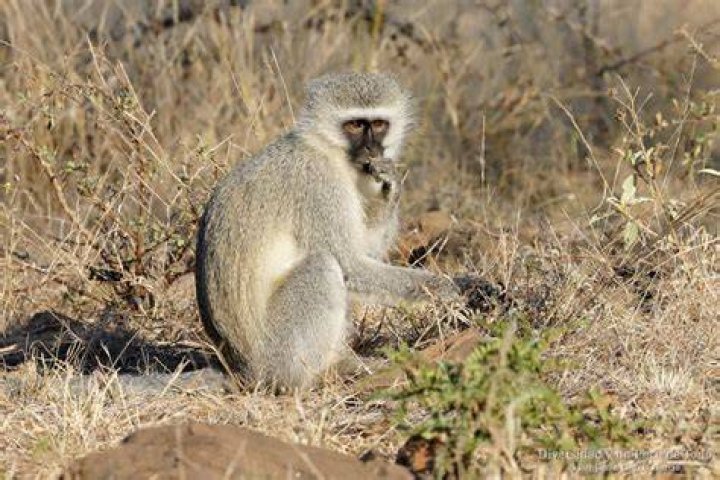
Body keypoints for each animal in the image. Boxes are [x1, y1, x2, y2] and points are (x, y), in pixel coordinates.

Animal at [195, 72, 465, 390]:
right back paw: (320, 375)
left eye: (378, 124)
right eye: (355, 125)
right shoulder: (319, 185)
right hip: (276, 351)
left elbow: (364, 252)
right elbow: (350, 264)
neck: (327, 150)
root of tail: (240, 370)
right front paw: (453, 289)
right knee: (323, 266)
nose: (372, 150)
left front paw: (390, 186)